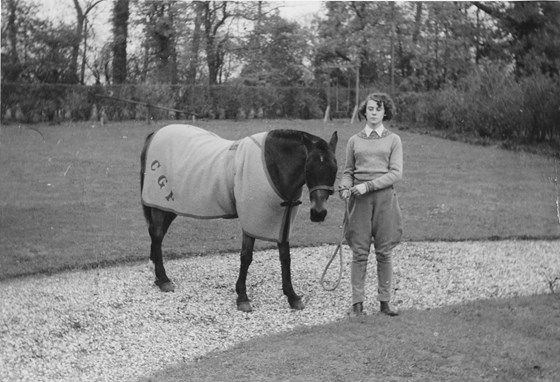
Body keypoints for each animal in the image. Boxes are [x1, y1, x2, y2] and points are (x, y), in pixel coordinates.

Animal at [142, 125, 340, 314]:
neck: (272, 165)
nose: (318, 213)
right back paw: (164, 279)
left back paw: (158, 277)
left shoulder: (282, 222)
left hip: (170, 208)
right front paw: (242, 297)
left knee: (157, 234)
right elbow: (246, 257)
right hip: (160, 205)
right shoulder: (250, 220)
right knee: (157, 235)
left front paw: (292, 297)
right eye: (308, 168)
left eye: (334, 168)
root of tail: (155, 134)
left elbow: (285, 258)